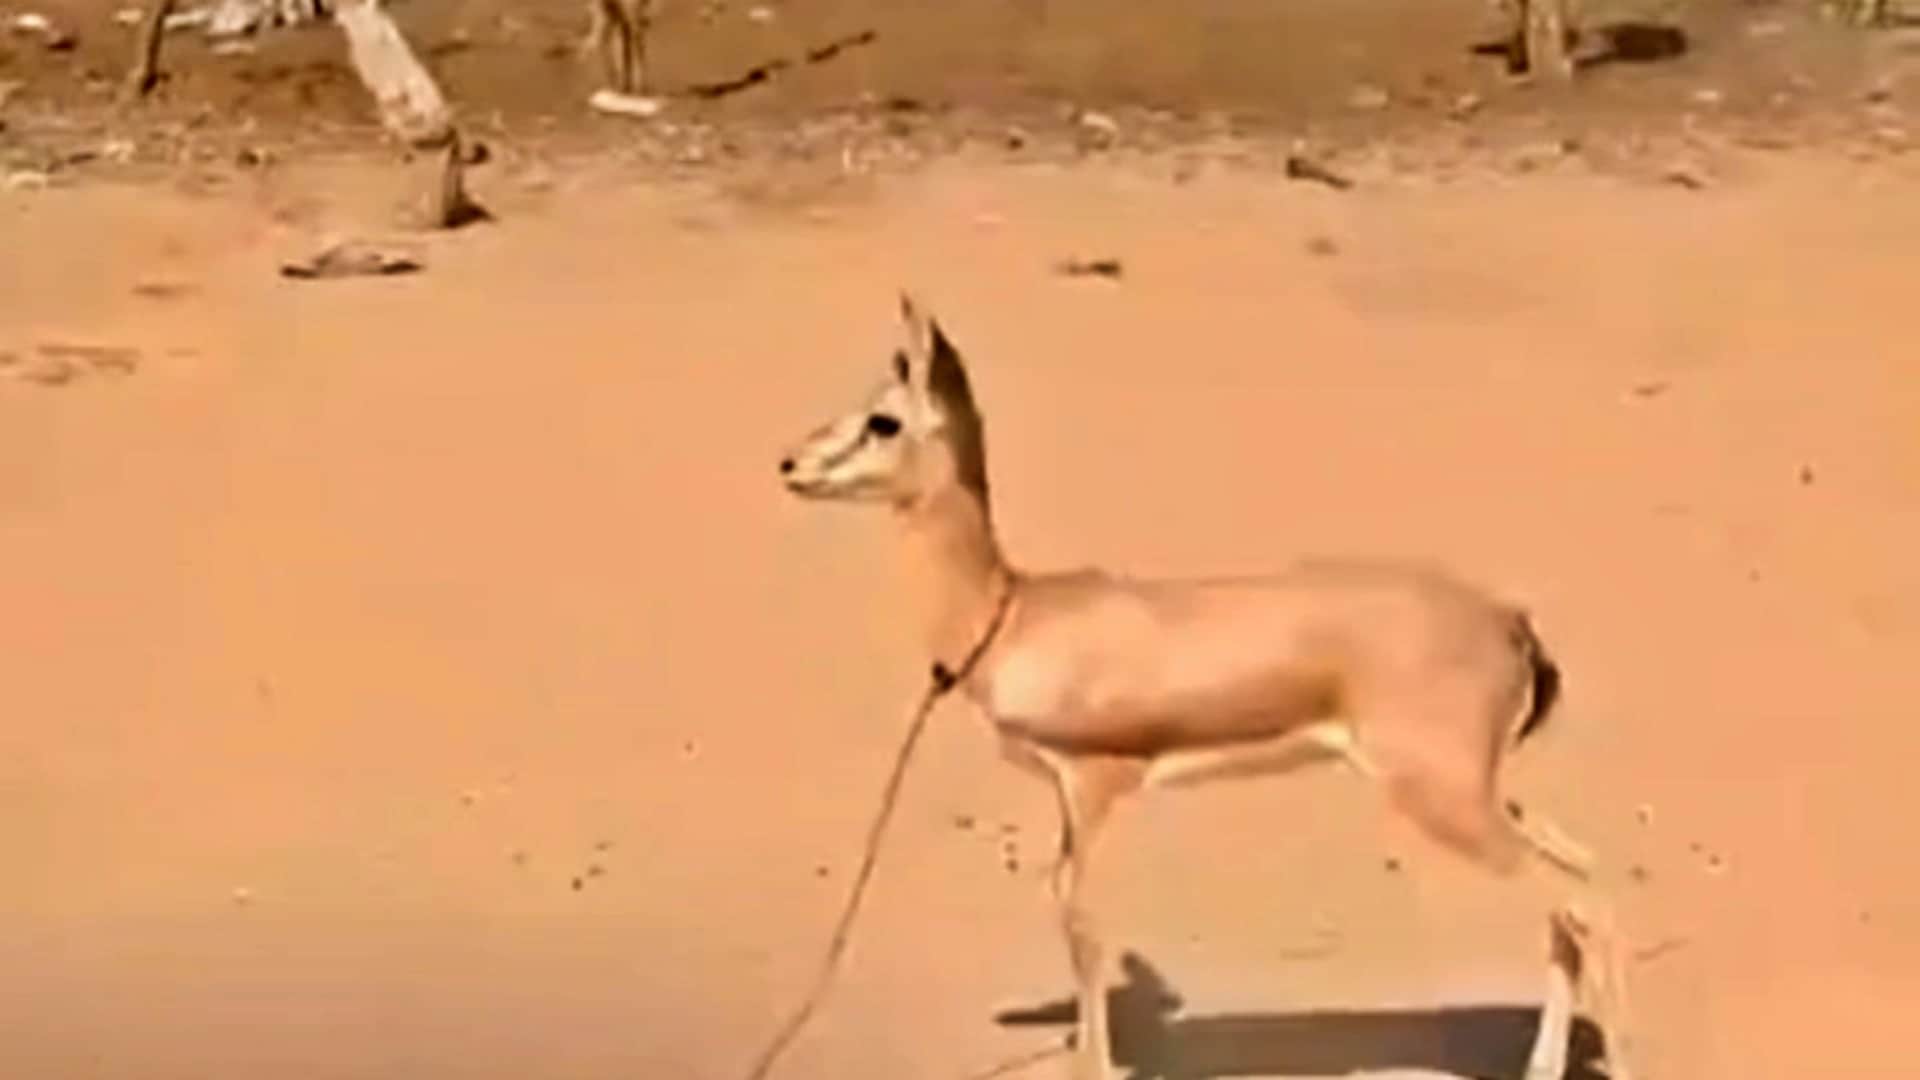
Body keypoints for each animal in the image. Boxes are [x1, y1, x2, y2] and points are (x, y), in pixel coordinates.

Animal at [776, 295, 1635, 1080]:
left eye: (883, 420)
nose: (789, 464)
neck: (1011, 612)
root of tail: (1510, 621)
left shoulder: (1094, 788)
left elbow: (1083, 932)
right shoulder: (1068, 802)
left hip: (1442, 799)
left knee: (1576, 905)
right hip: (1483, 793)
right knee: (1586, 876)